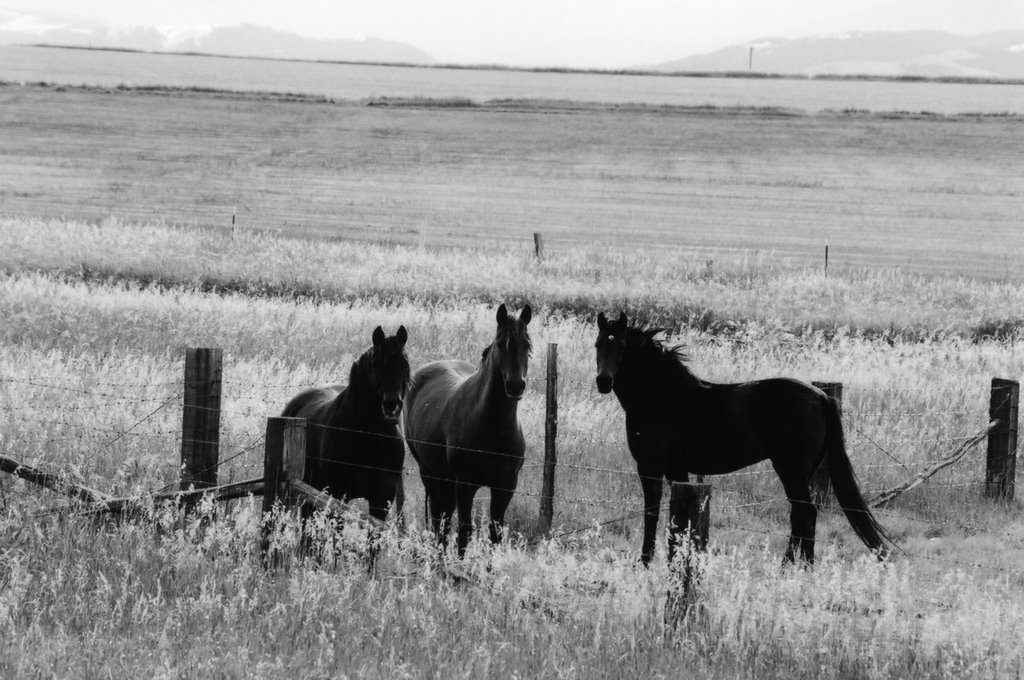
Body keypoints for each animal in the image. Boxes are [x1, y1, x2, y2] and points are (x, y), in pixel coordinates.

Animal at [282, 323, 409, 520]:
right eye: (376, 365)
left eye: (404, 364)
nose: (391, 405)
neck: (370, 439)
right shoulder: (338, 493)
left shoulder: (382, 498)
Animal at [405, 303, 536, 557]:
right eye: (500, 343)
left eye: (528, 345)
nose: (516, 386)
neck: (494, 428)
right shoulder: (465, 485)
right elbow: (465, 531)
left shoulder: (506, 486)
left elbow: (495, 533)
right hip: (429, 471)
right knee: (439, 517)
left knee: (444, 515)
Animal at [598, 311, 892, 565]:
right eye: (598, 344)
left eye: (622, 346)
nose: (603, 382)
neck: (661, 398)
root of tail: (821, 397)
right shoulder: (674, 470)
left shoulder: (651, 467)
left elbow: (653, 513)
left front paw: (648, 560)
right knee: (800, 515)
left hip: (791, 470)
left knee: (805, 513)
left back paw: (797, 567)